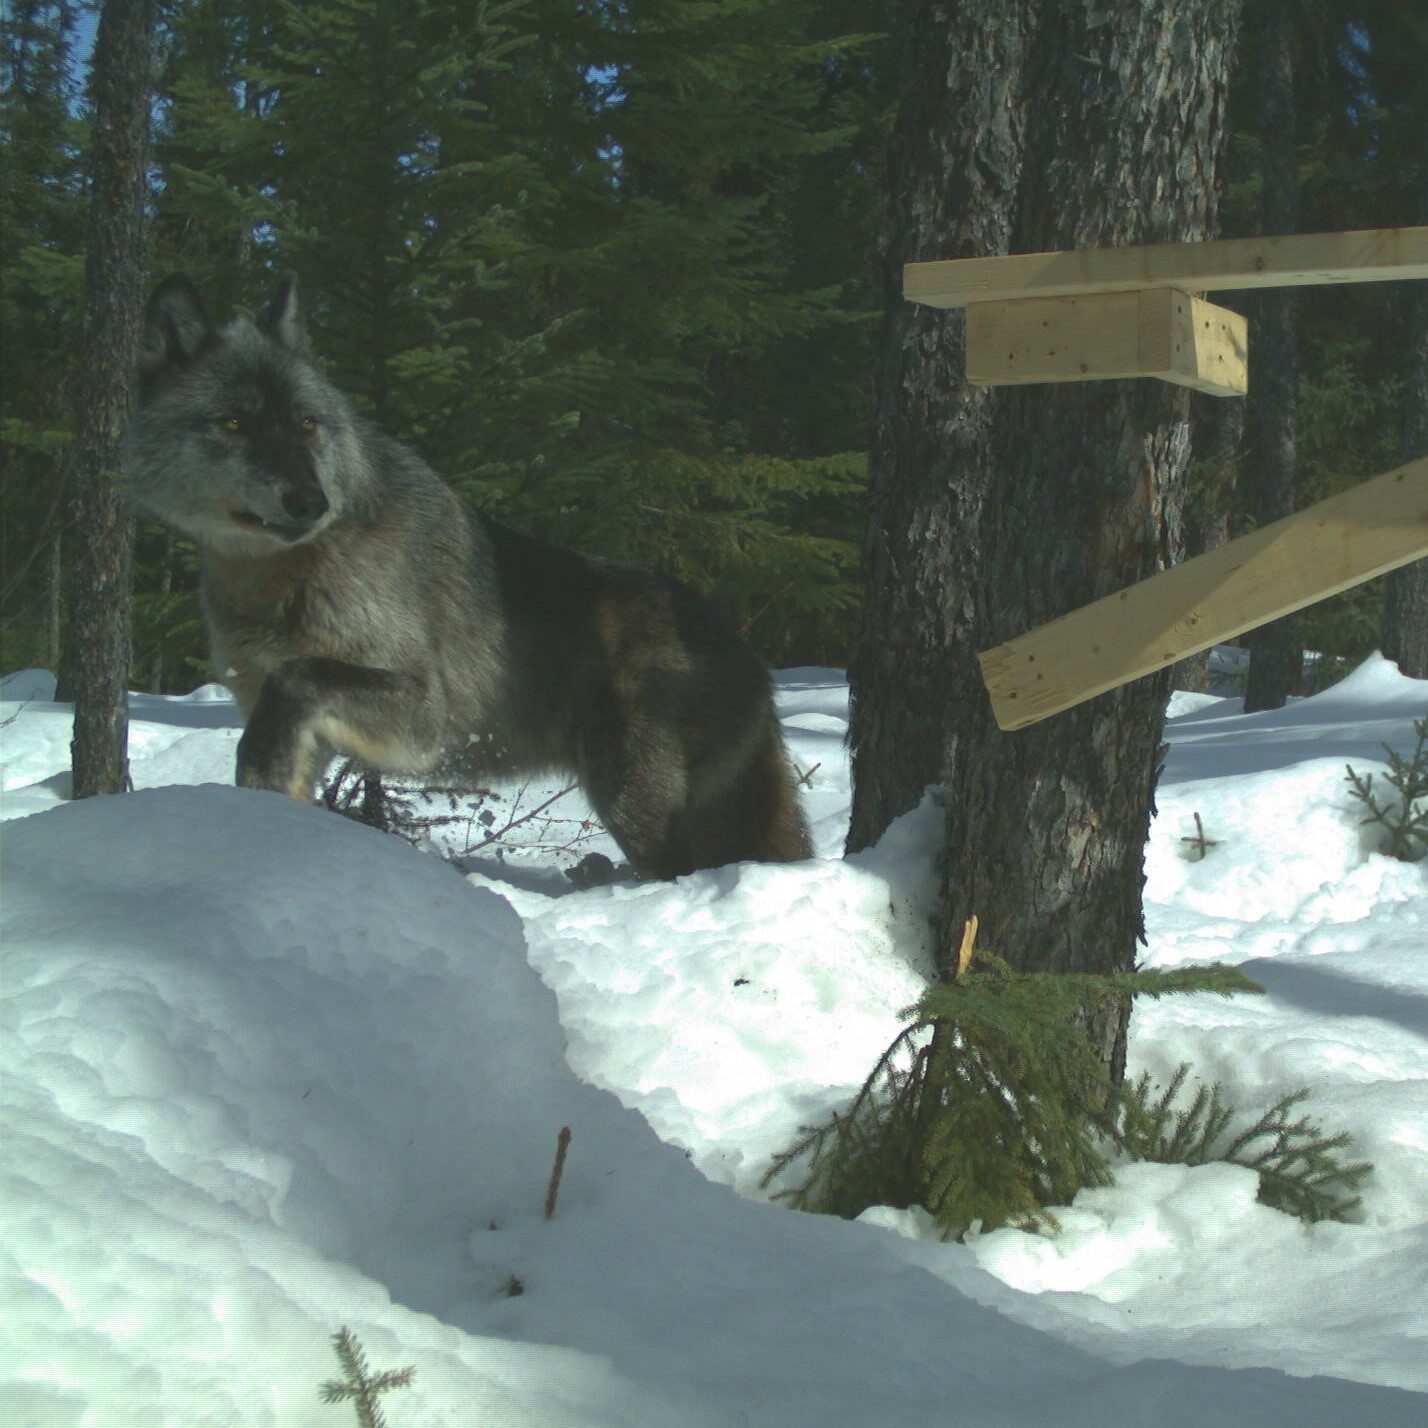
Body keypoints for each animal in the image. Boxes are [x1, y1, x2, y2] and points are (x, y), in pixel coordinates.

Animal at [127, 272, 811, 873]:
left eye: (306, 424)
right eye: (234, 424)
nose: (310, 502)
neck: (288, 575)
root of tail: (751, 659)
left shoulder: (427, 716)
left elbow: (295, 677)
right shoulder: (298, 720)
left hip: (627, 796)